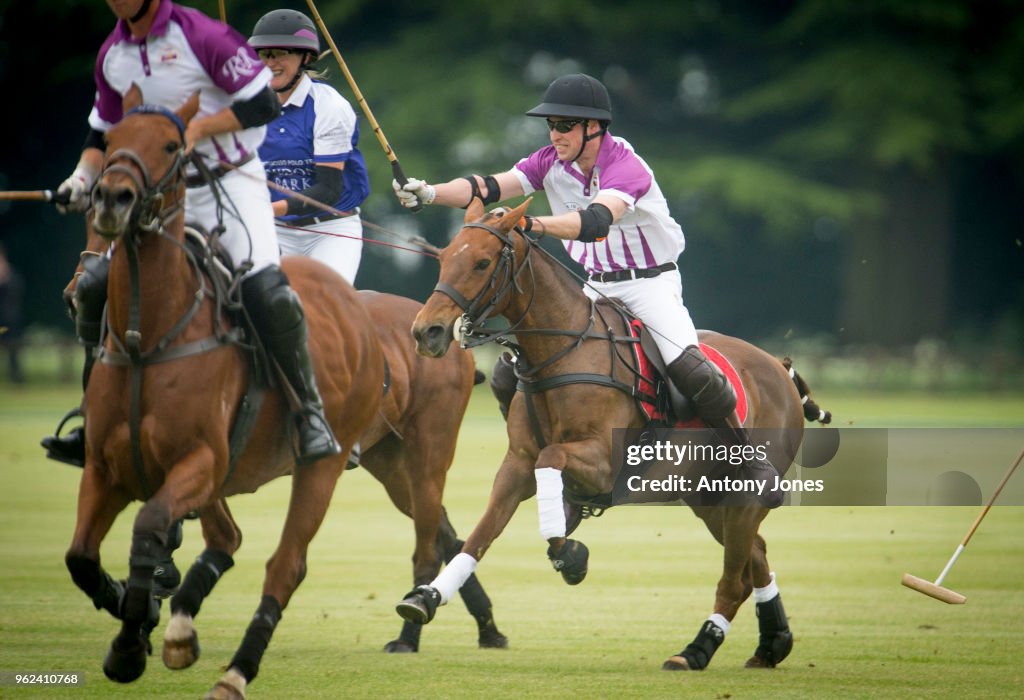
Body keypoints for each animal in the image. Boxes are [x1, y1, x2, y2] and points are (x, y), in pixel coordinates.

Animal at [395, 199, 827, 671]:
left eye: (482, 262)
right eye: (444, 258)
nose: (427, 332)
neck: (562, 352)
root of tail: (779, 368)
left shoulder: (603, 463)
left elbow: (552, 459)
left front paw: (568, 552)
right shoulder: (517, 463)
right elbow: (480, 535)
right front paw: (425, 597)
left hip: (742, 494)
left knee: (735, 577)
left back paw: (695, 650)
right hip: (706, 496)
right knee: (757, 557)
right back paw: (772, 643)